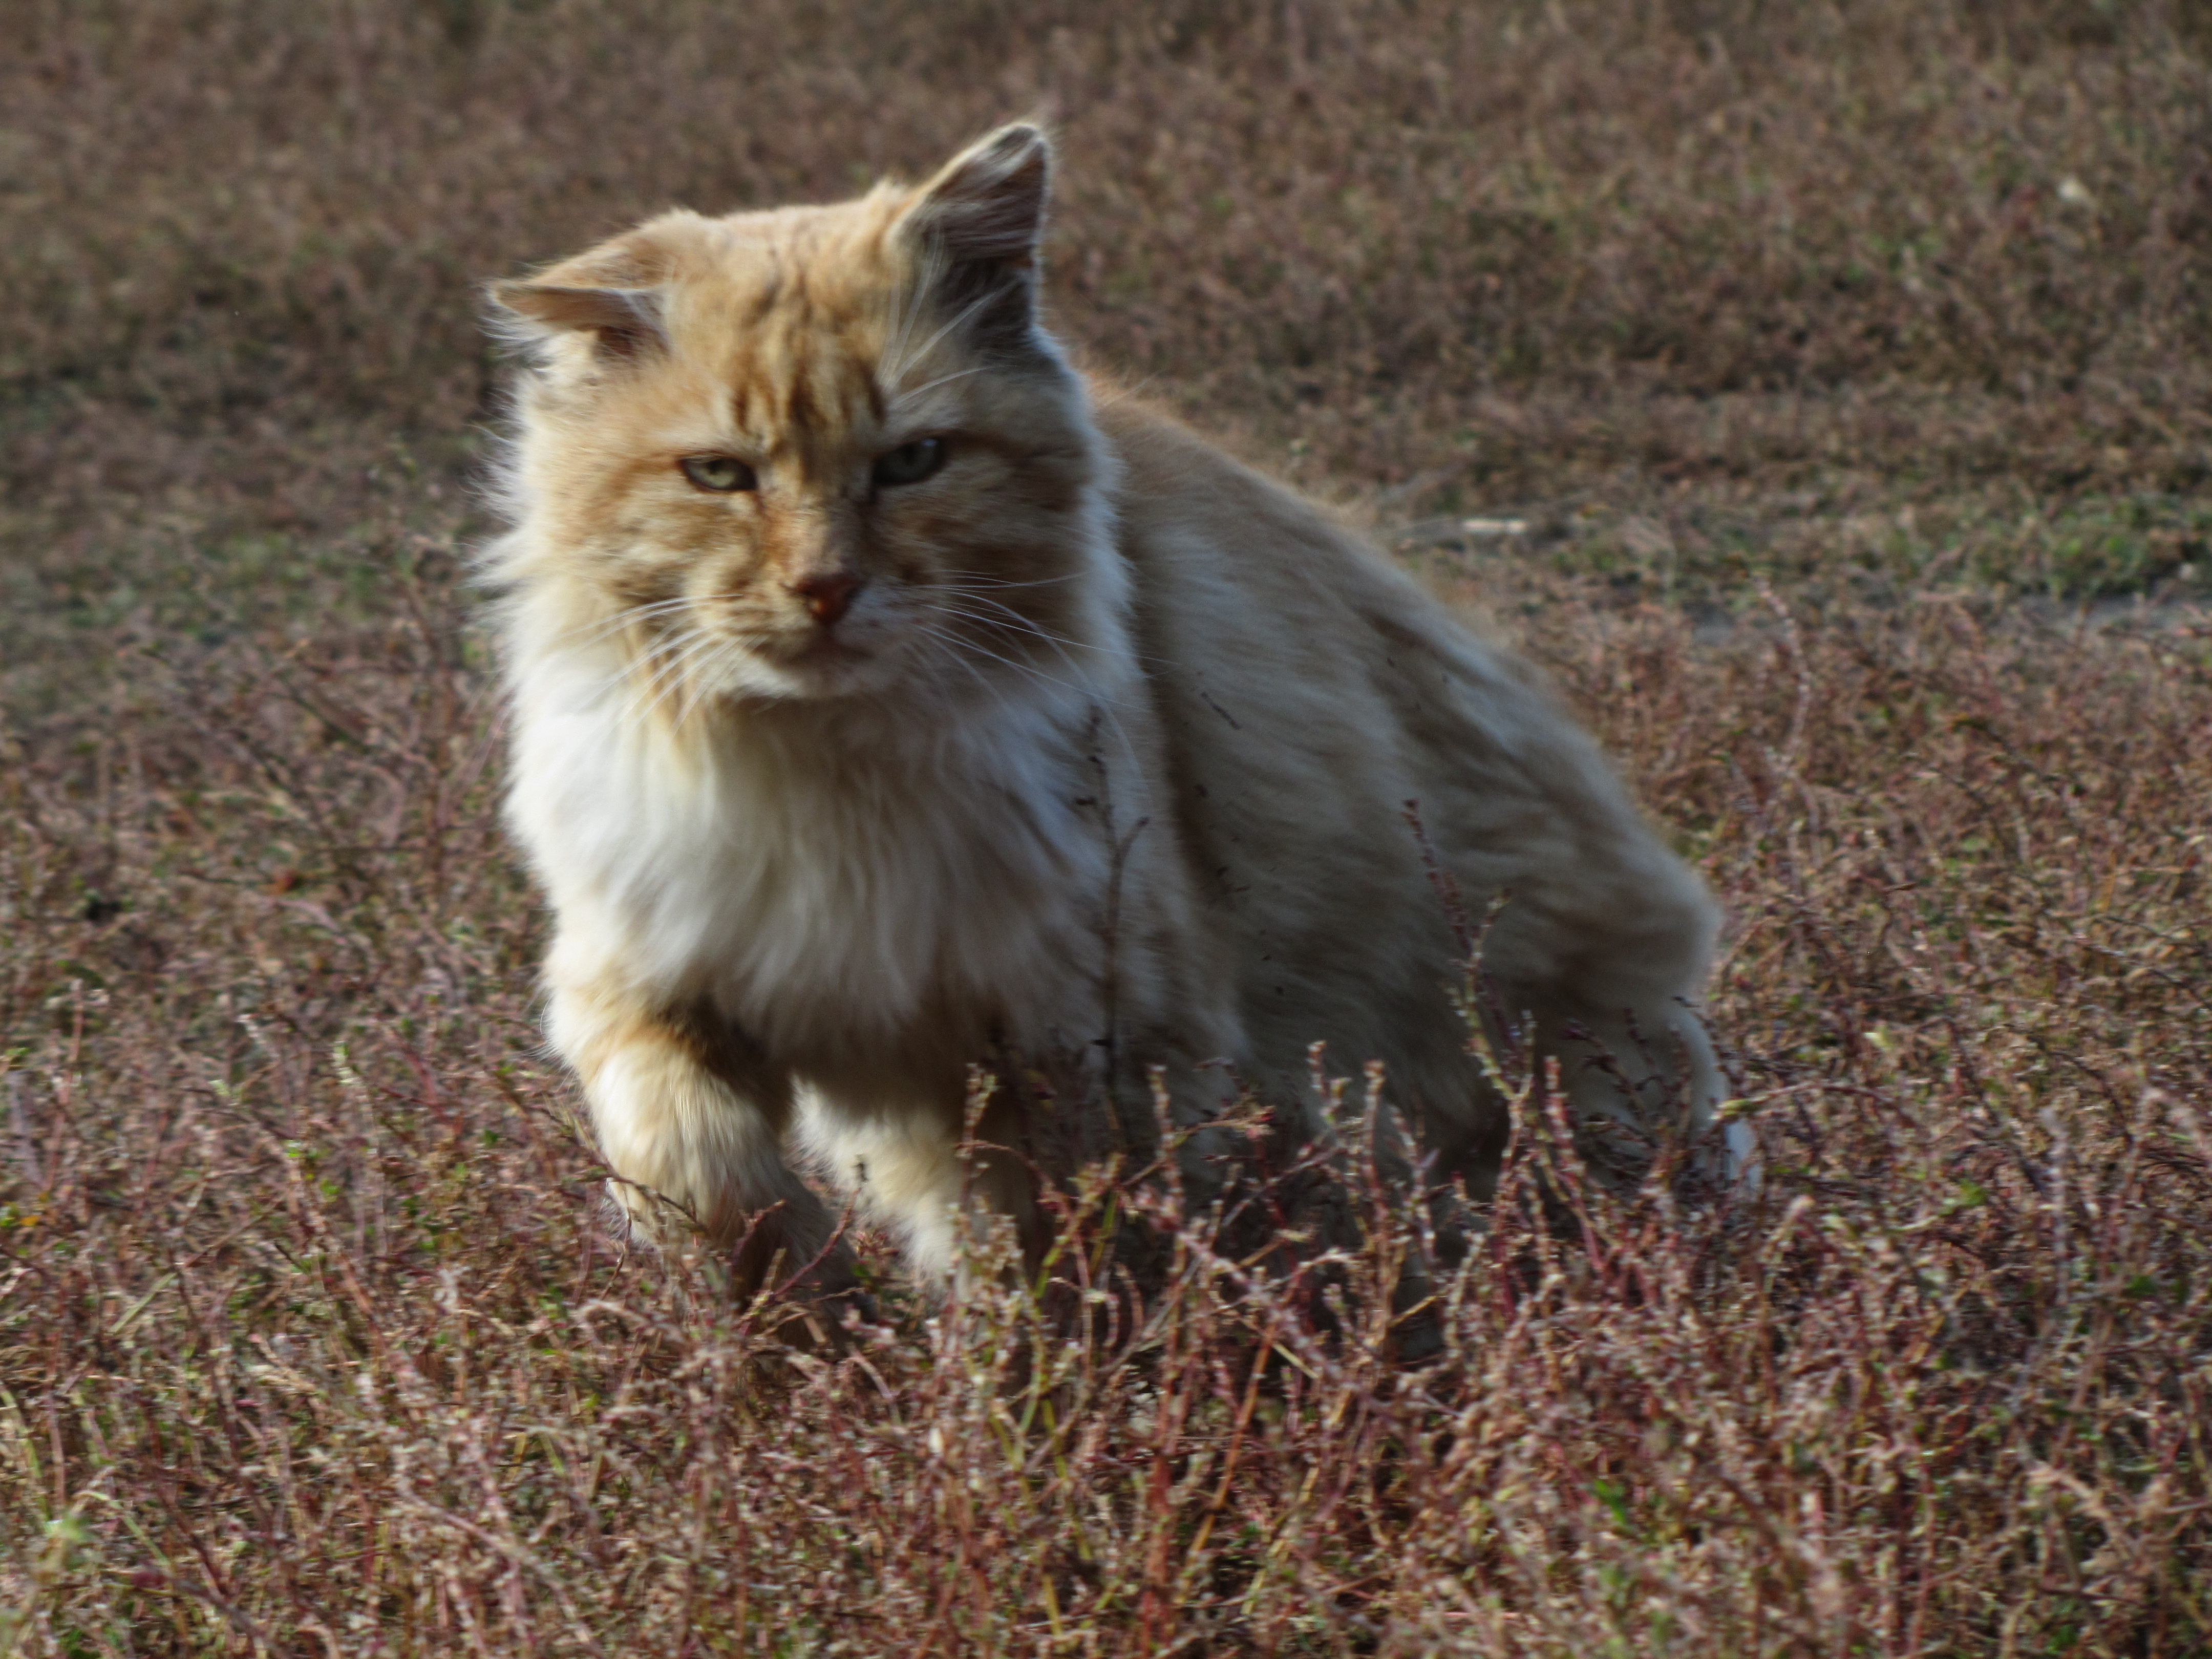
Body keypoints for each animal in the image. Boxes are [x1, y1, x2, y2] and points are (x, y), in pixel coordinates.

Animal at [488, 123, 1743, 1309]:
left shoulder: (1084, 1033)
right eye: (719, 476)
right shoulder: (645, 981)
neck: (833, 780)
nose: (825, 588)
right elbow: (699, 1174)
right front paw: (801, 1318)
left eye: (913, 462)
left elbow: (1085, 1252)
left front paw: (1063, 1385)